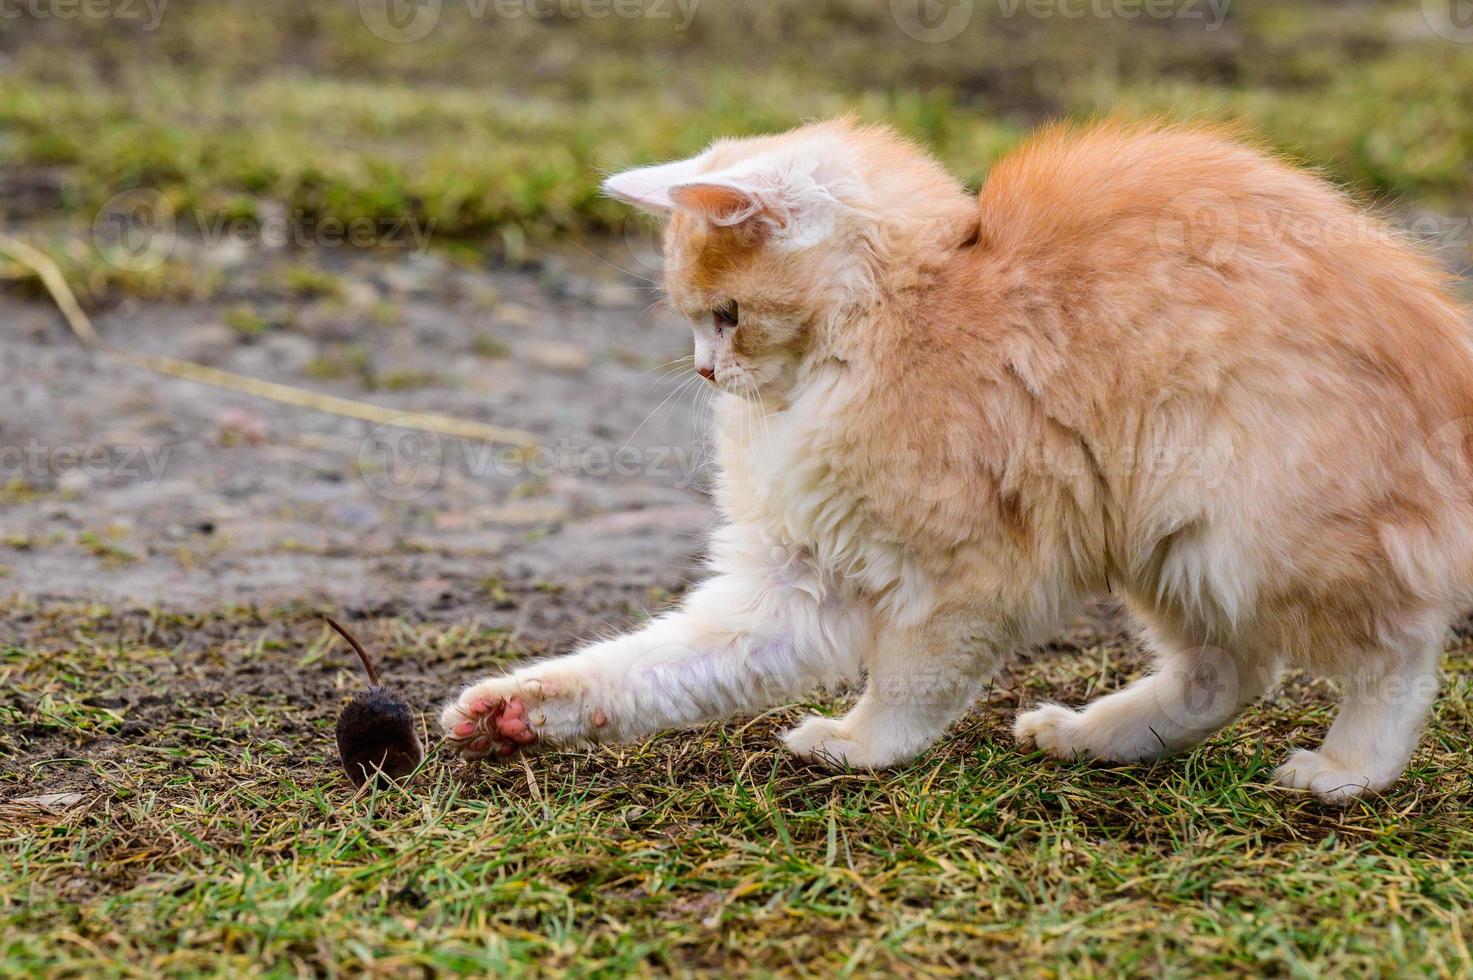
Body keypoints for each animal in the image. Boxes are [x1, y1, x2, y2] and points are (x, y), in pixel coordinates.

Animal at [441, 114, 1473, 801]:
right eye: (695, 320)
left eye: (725, 316)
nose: (703, 368)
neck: (896, 318)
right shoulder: (793, 581)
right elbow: (652, 667)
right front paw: (514, 713)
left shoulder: (965, 578)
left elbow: (909, 685)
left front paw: (858, 745)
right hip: (1171, 547)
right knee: (1226, 674)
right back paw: (1089, 737)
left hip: (1249, 538)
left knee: (1396, 654)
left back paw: (1345, 770)